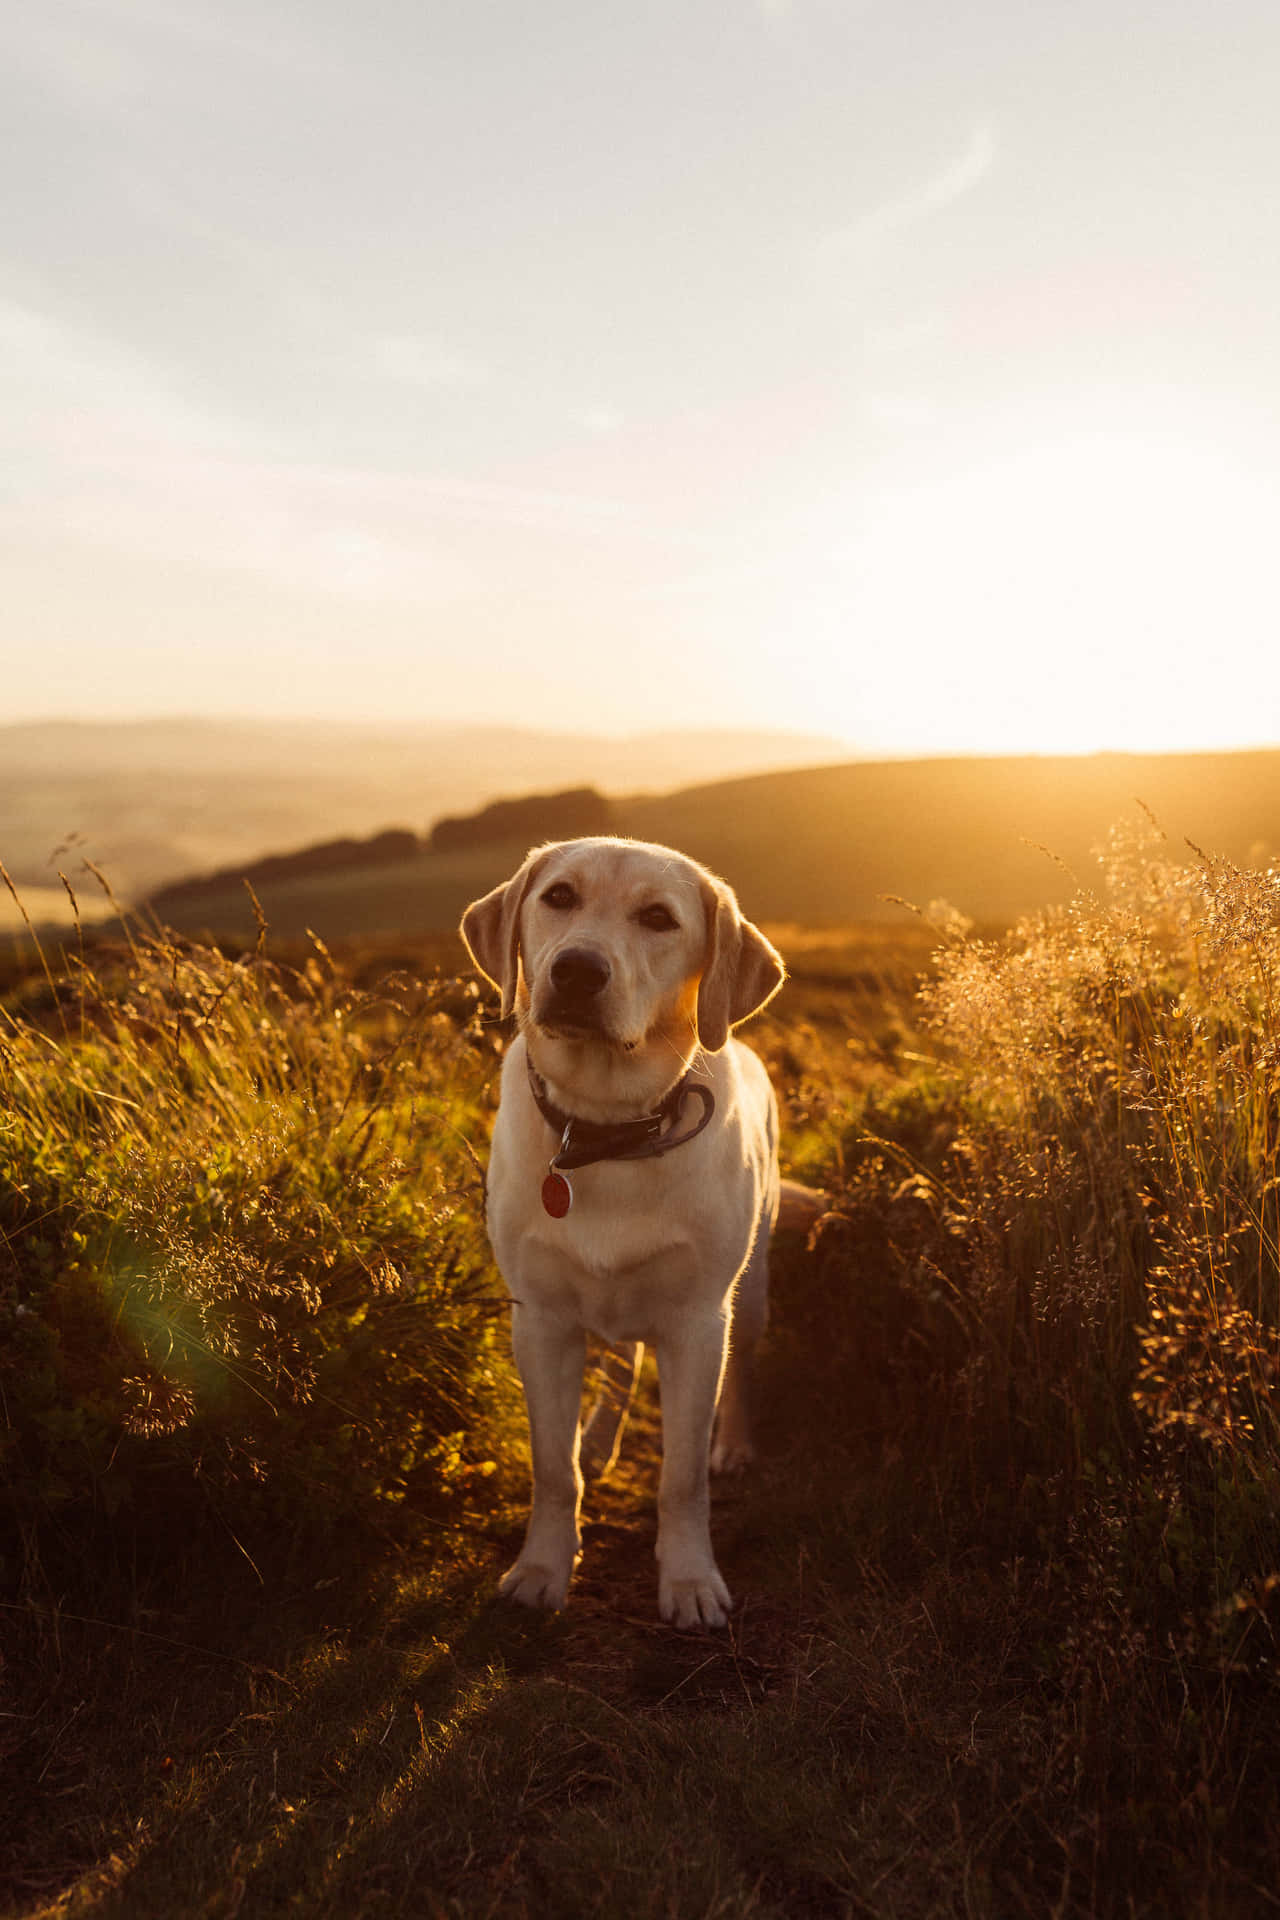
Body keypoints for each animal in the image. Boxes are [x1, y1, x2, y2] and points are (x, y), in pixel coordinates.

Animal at [466, 833, 790, 1628]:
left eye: (658, 918)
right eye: (558, 897)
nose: (577, 970)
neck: (605, 1130)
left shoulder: (698, 1322)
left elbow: (681, 1479)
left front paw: (690, 1580)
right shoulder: (541, 1320)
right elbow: (553, 1470)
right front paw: (542, 1570)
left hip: (752, 1291)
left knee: (741, 1373)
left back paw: (734, 1446)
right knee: (620, 1367)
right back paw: (602, 1439)